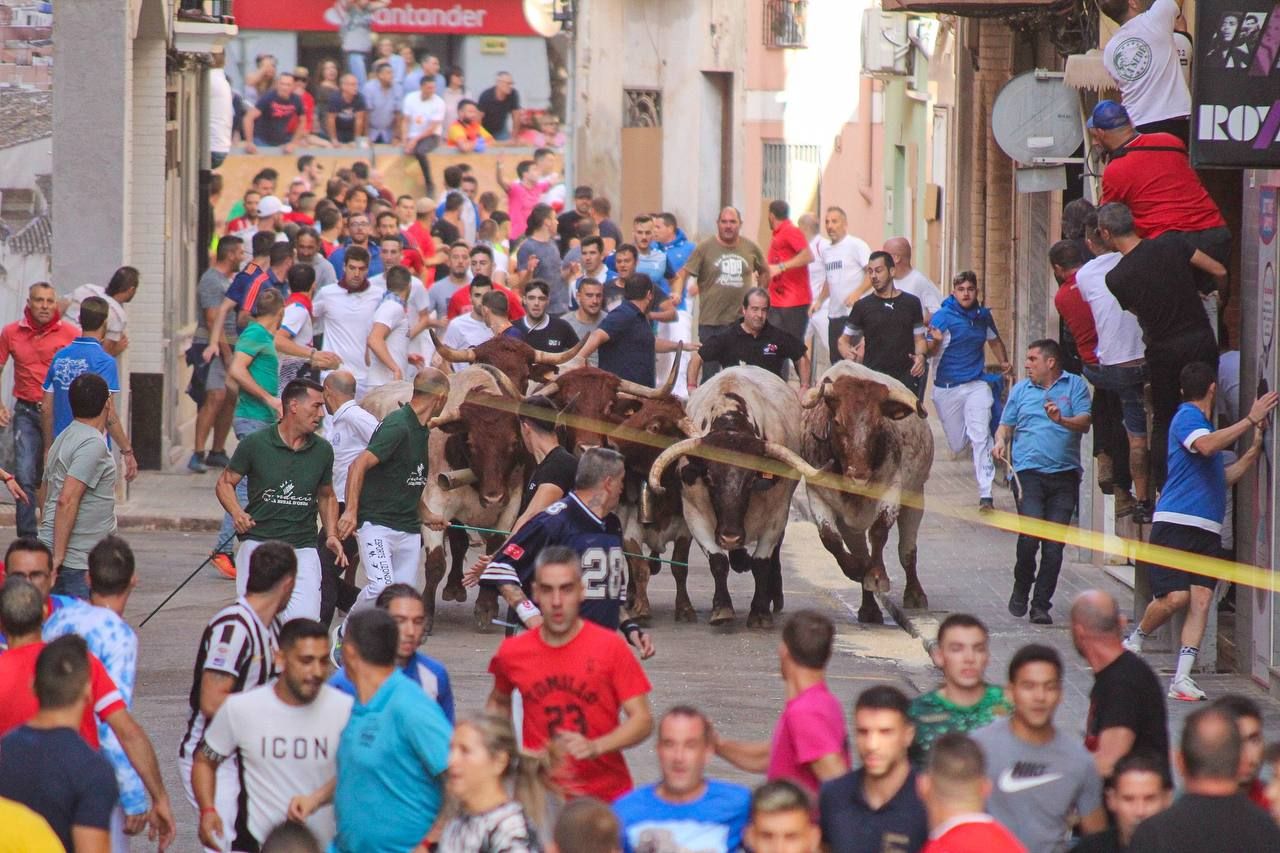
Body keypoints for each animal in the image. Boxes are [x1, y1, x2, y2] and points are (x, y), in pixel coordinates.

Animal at [650, 363, 819, 625]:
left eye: (750, 481)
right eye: (709, 478)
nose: (730, 536)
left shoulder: (777, 515)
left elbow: (762, 563)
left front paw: (760, 612)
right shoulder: (695, 515)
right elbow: (718, 561)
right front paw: (722, 608)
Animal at [798, 356, 931, 622]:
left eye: (878, 423)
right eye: (837, 422)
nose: (858, 476)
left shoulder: (892, 489)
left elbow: (879, 531)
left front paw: (877, 576)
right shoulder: (818, 495)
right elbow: (830, 539)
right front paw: (856, 570)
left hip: (915, 498)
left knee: (907, 550)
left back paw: (914, 593)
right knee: (861, 550)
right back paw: (869, 607)